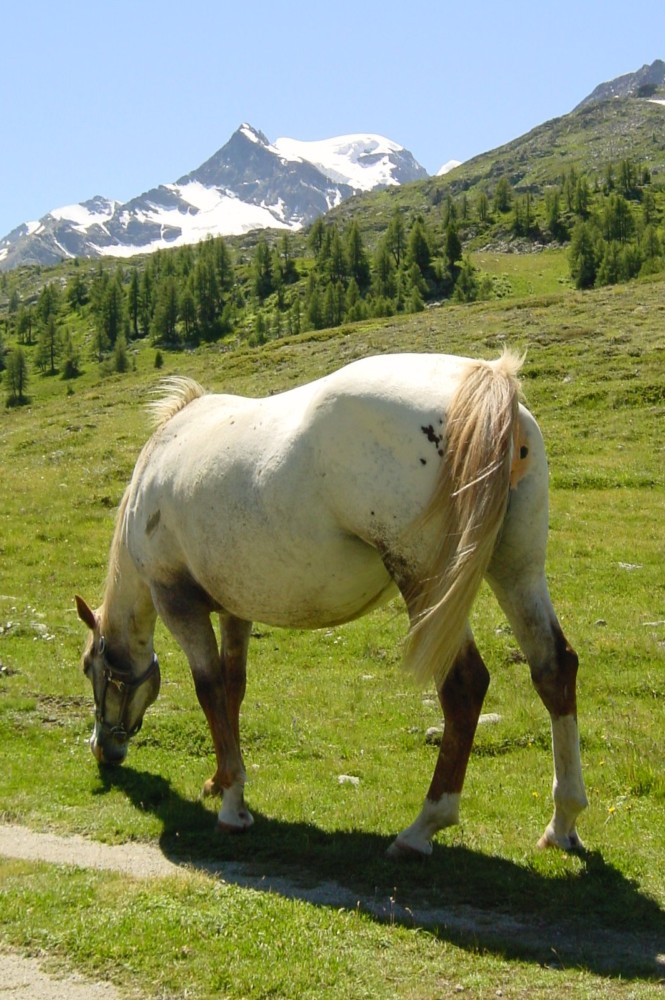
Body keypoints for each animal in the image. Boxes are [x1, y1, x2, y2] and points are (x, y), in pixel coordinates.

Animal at [75, 350, 588, 858]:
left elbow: (210, 690)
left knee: (464, 685)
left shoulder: (179, 604)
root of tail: (487, 379)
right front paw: (222, 781)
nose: (102, 749)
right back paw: (562, 821)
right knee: (553, 667)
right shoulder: (236, 608)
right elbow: (233, 688)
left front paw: (232, 804)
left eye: (90, 669)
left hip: (428, 585)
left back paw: (422, 827)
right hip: (517, 571)